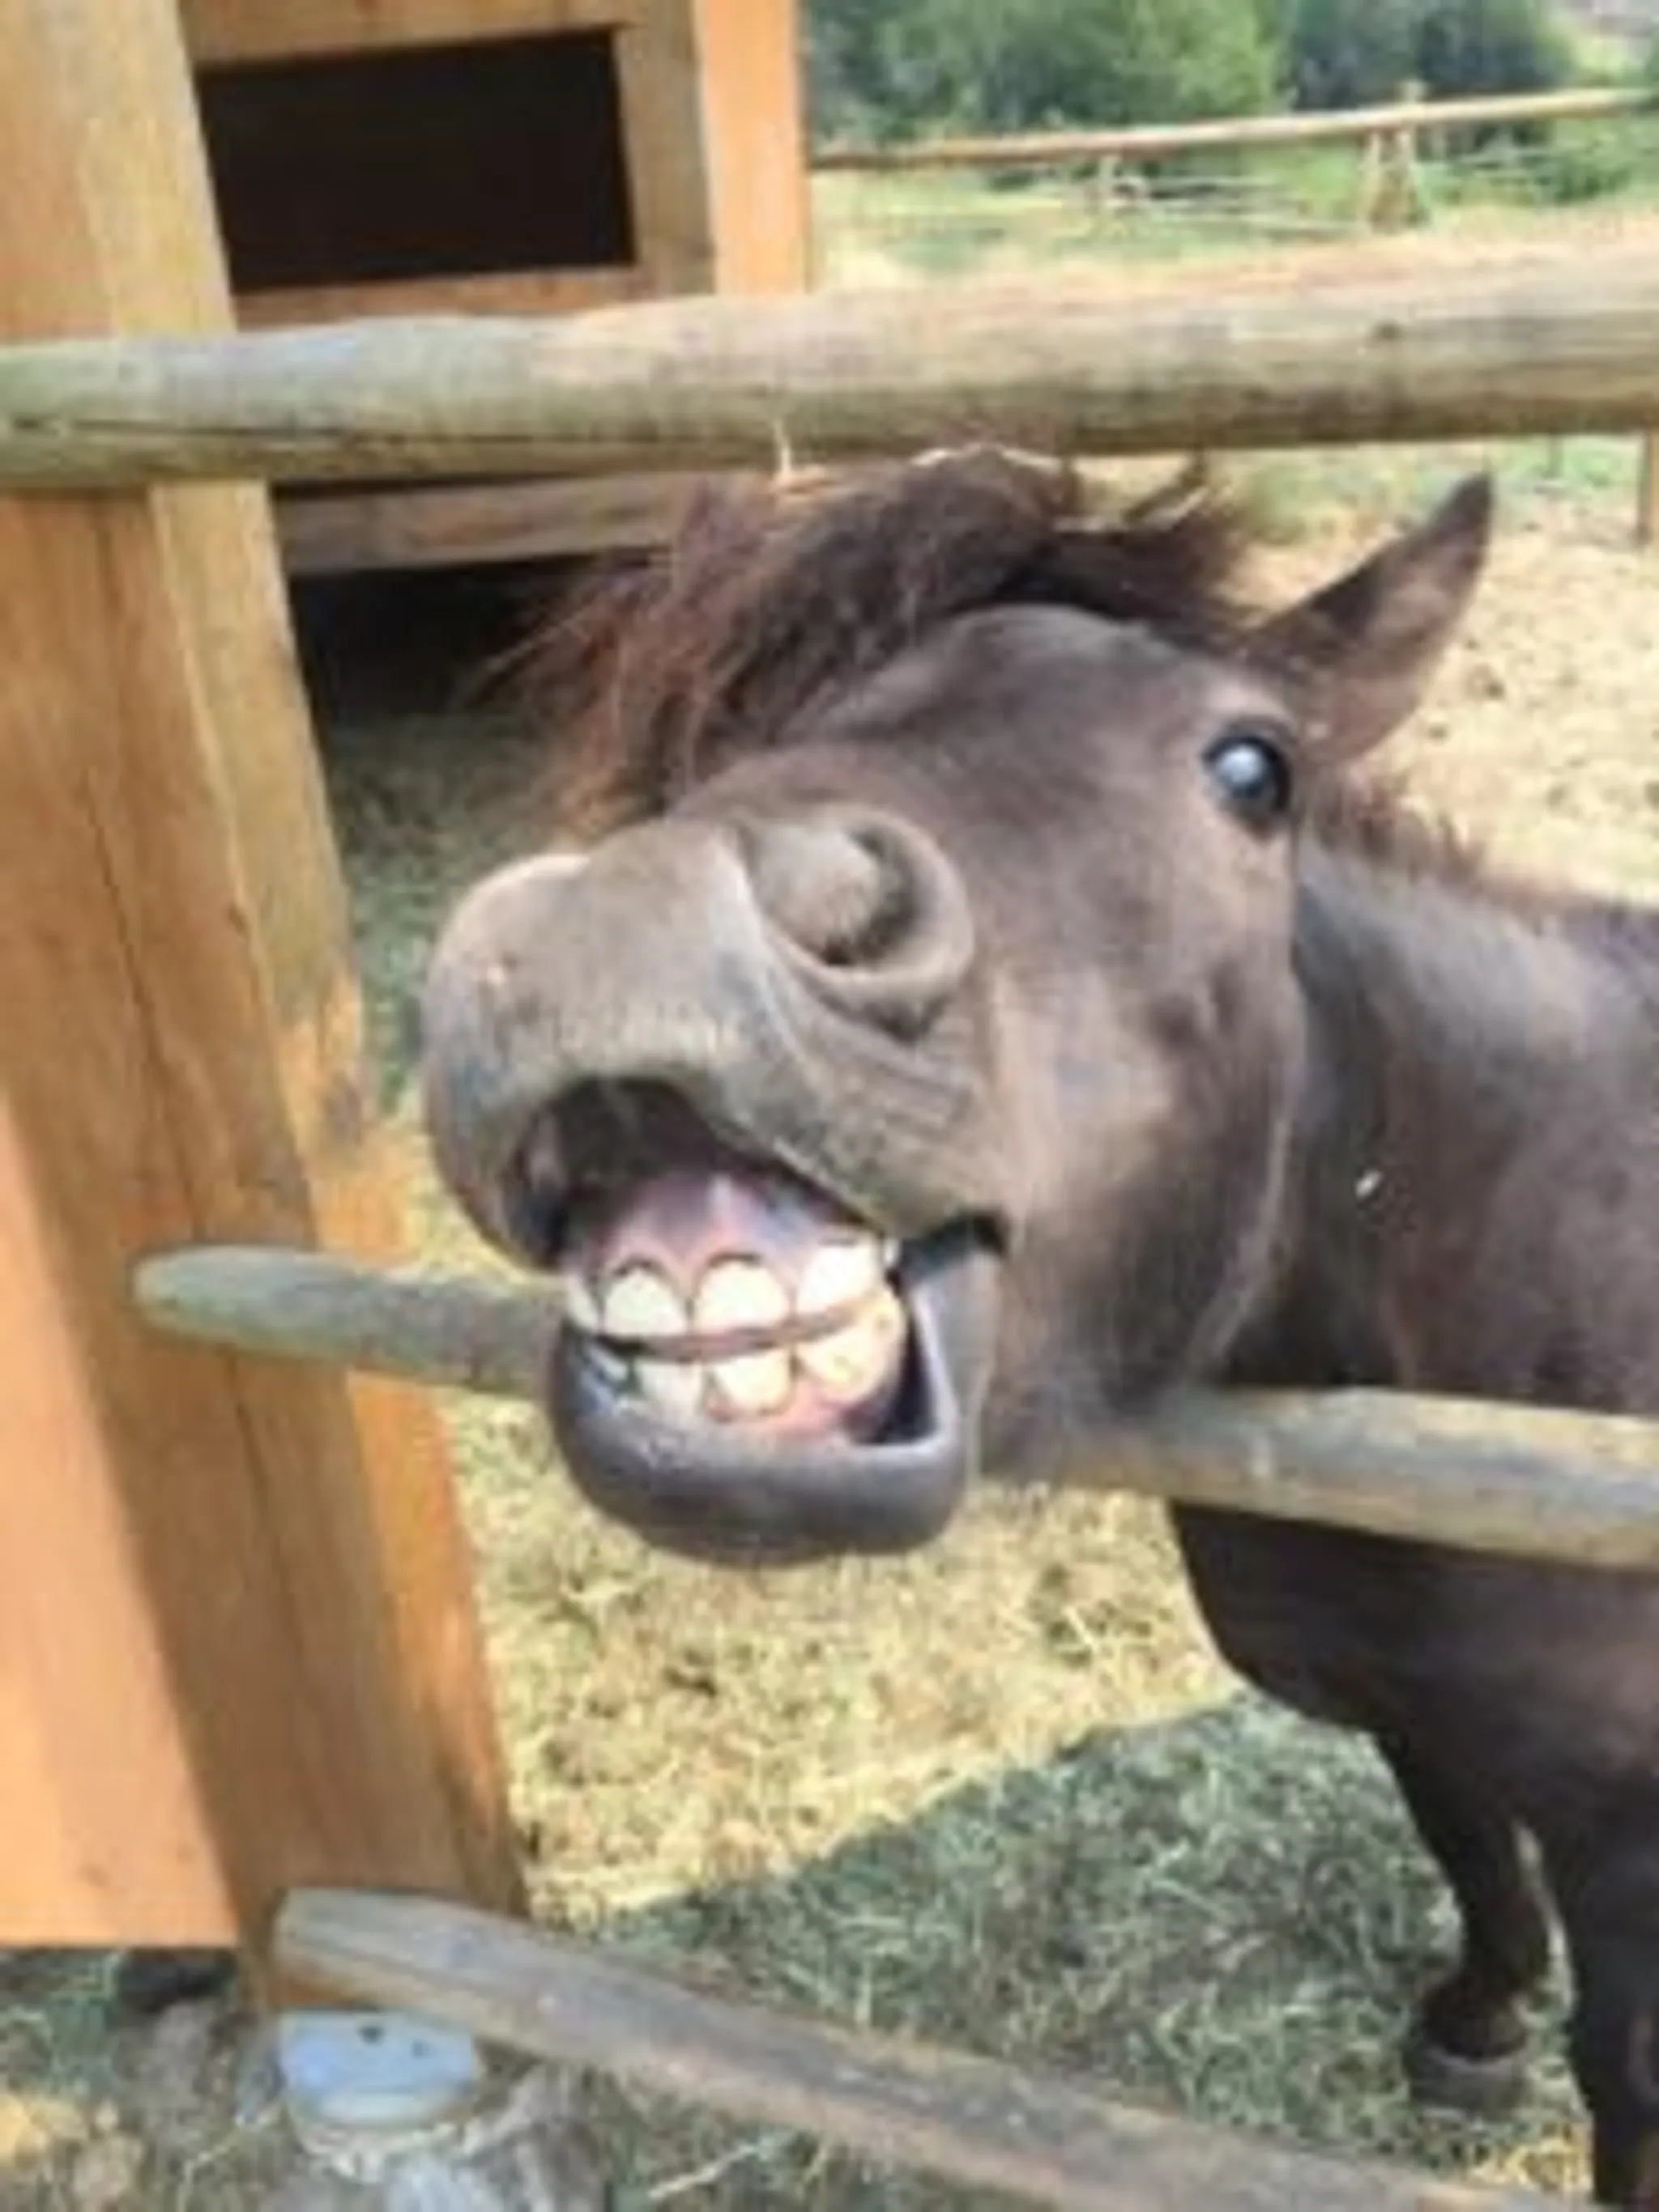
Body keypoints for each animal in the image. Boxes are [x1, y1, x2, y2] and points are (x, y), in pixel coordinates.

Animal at [421, 450, 1659, 2206]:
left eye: (1252, 769)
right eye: (716, 748)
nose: (619, 932)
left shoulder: (1631, 1844)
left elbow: (1620, 2073)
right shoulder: (1413, 1717)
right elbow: (1466, 1843)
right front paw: (1471, 2028)